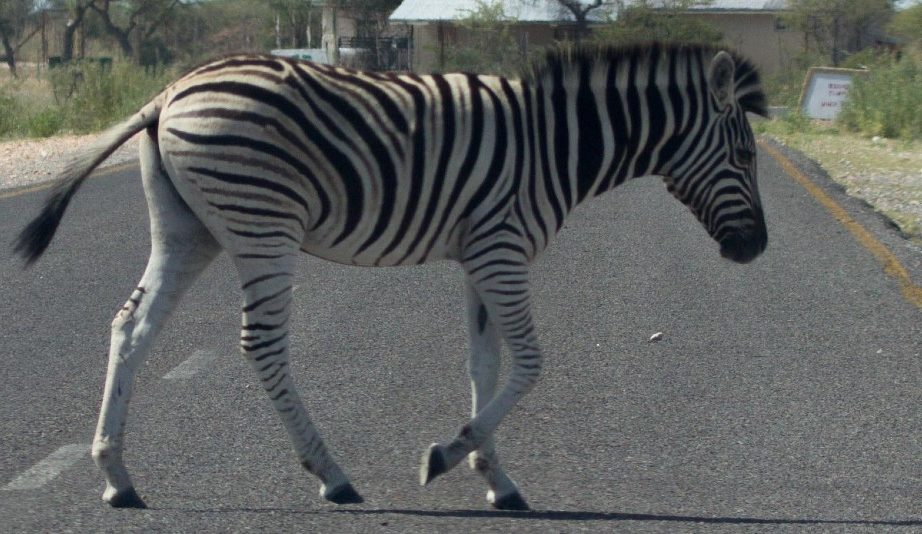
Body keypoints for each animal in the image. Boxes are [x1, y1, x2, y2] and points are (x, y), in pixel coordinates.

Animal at [14, 42, 767, 511]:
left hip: (186, 228)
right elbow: (529, 362)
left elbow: (483, 364)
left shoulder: (481, 255)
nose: (757, 249)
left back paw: (116, 476)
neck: (555, 145)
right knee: (260, 345)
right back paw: (332, 475)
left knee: (129, 327)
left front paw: (494, 476)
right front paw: (446, 455)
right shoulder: (502, 248)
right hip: (263, 224)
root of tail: (169, 93)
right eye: (743, 155)